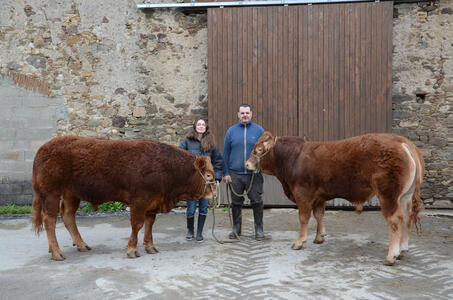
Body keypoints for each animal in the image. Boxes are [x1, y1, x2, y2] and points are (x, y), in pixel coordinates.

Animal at [31, 136, 215, 260]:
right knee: (49, 219)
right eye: (207, 175)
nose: (214, 192)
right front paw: (132, 250)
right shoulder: (140, 201)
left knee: (68, 215)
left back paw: (79, 245)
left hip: (71, 194)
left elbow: (149, 225)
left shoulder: (153, 202)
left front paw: (150, 247)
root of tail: (44, 148)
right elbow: (137, 224)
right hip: (51, 193)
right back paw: (56, 252)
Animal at [245, 131, 422, 264]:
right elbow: (319, 215)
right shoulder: (319, 197)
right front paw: (319, 237)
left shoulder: (302, 194)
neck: (294, 157)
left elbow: (304, 218)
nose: (247, 164)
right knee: (407, 218)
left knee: (395, 220)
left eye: (258, 150)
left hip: (388, 194)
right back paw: (402, 251)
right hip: (405, 196)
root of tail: (401, 141)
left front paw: (299, 242)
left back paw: (391, 256)